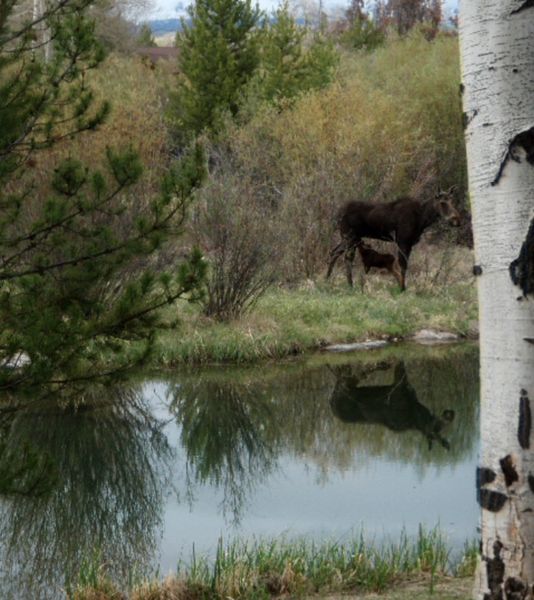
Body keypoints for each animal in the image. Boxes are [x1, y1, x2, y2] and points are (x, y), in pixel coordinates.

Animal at [328, 188, 462, 290]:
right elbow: (402, 265)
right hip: (349, 236)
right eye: (443, 203)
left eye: (452, 201)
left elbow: (403, 265)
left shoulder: (409, 244)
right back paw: (349, 285)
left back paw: (328, 279)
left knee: (334, 252)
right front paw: (402, 288)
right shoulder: (402, 241)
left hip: (352, 238)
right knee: (346, 257)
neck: (422, 220)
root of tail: (337, 214)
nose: (457, 220)